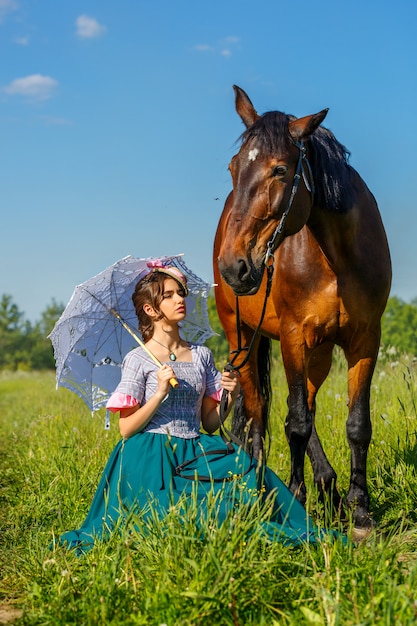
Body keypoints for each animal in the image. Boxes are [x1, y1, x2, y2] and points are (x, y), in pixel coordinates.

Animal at [213, 84, 392, 528]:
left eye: (280, 170)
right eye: (233, 168)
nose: (234, 266)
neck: (338, 258)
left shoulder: (365, 339)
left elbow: (356, 423)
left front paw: (360, 510)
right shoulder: (294, 337)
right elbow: (294, 424)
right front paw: (295, 497)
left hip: (320, 352)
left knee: (305, 406)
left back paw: (328, 486)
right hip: (243, 339)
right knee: (259, 415)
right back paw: (263, 493)